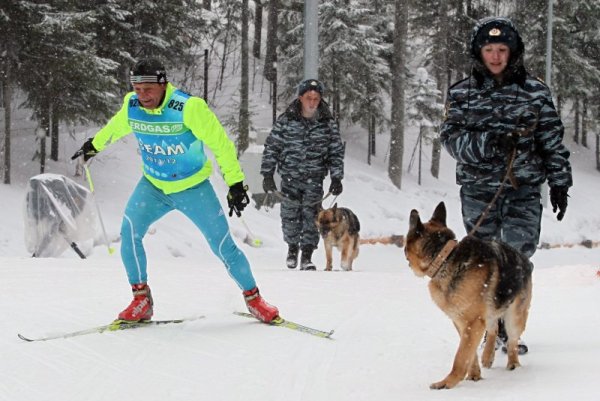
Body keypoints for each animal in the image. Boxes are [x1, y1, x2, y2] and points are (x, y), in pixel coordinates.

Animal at [406, 202, 532, 390]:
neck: (445, 258)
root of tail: (524, 258)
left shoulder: (472, 322)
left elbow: (461, 355)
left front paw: (448, 382)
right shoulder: (461, 322)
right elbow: (469, 352)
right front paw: (474, 375)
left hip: (514, 317)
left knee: (512, 341)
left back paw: (513, 364)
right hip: (491, 312)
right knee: (494, 329)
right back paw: (488, 356)